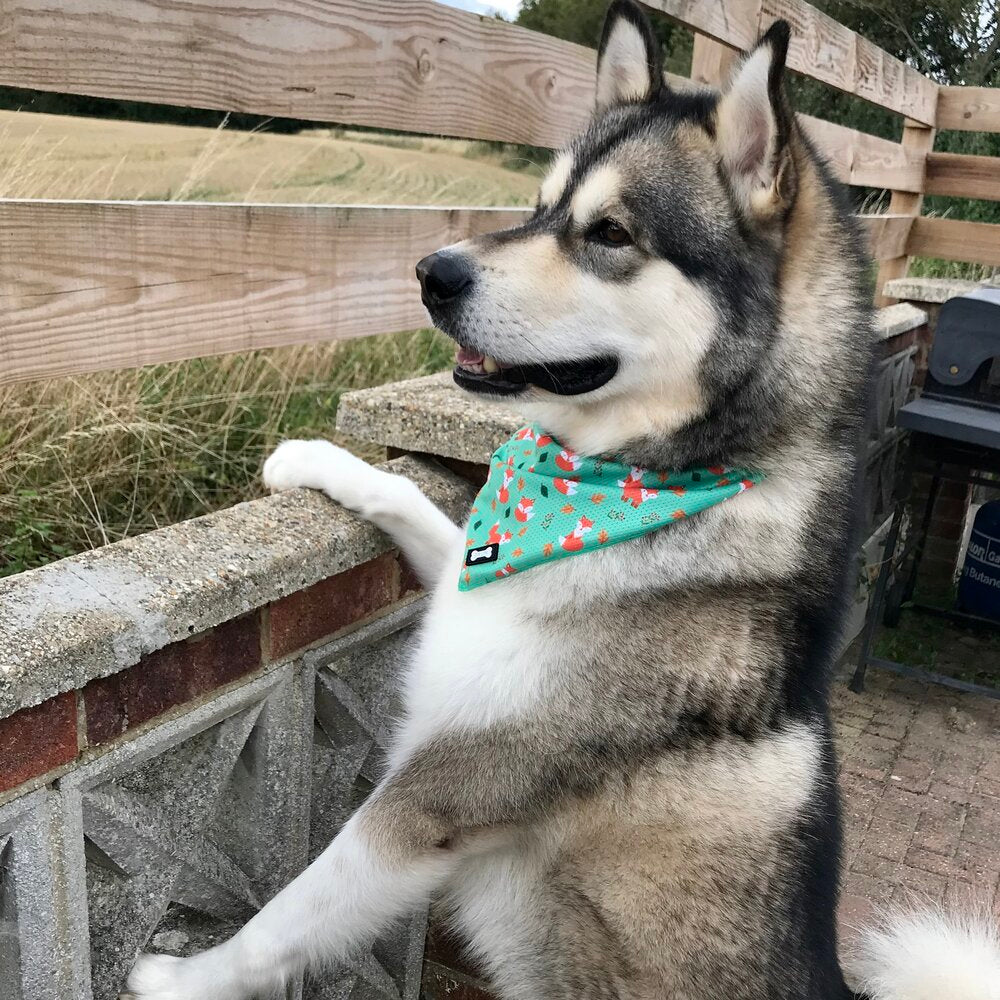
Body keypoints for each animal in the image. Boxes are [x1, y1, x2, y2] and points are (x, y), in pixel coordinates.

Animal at [127, 3, 1000, 996]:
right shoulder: (472, 571)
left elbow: (293, 913)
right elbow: (414, 496)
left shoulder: (440, 792)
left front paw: (182, 979)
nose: (431, 273)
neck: (621, 494)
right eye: (541, 207)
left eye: (610, 232)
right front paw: (315, 459)